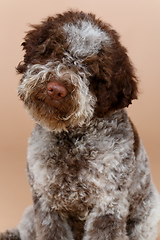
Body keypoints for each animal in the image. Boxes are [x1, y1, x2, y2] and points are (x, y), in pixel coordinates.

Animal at [1, 9, 160, 240]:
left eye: (91, 71)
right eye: (54, 53)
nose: (56, 89)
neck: (71, 140)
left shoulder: (108, 205)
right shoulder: (46, 203)